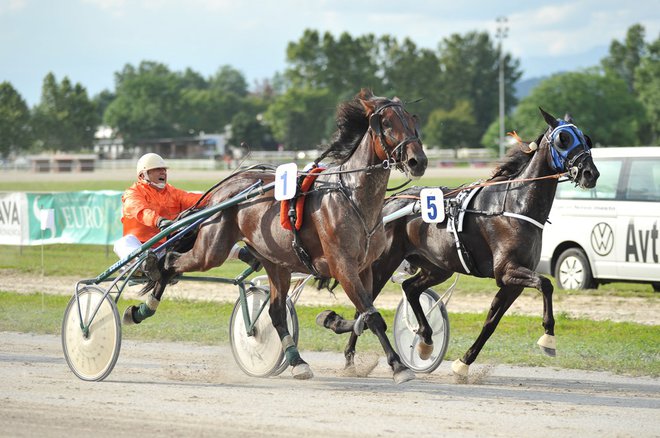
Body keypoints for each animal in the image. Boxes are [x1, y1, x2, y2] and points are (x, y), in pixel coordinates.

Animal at [138, 89, 428, 384]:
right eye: (387, 123)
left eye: (411, 120)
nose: (418, 161)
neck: (352, 197)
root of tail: (224, 189)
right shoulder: (343, 266)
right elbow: (372, 316)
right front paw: (399, 366)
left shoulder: (364, 267)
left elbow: (363, 315)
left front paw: (332, 319)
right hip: (212, 250)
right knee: (171, 260)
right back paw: (144, 305)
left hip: (275, 261)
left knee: (276, 313)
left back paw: (297, 361)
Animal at [318, 108, 600, 376]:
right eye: (563, 139)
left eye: (585, 138)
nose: (590, 173)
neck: (514, 204)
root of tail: (388, 203)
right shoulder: (507, 270)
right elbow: (546, 284)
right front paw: (548, 338)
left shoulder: (511, 282)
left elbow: (492, 321)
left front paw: (463, 364)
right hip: (381, 263)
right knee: (365, 305)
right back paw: (350, 356)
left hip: (438, 266)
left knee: (410, 288)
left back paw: (425, 340)